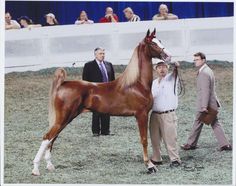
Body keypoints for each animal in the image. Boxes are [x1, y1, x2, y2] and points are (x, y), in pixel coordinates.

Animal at [31, 29, 171, 176]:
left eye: (160, 41)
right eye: (153, 44)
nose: (168, 56)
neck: (136, 84)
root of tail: (62, 84)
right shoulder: (141, 115)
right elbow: (144, 140)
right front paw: (149, 166)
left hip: (65, 119)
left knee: (52, 138)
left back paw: (49, 165)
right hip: (63, 118)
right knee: (47, 137)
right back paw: (35, 169)